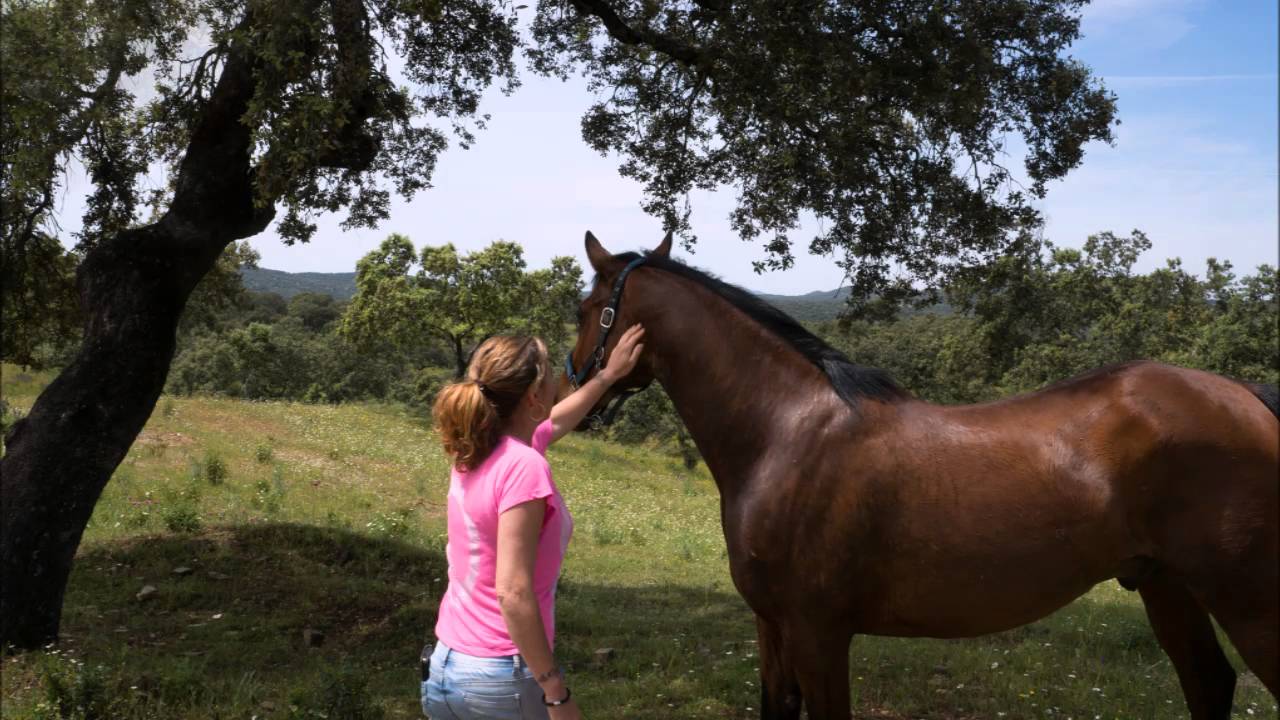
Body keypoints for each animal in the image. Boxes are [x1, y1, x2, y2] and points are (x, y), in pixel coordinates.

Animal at [561, 231, 1279, 720]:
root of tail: (1247, 398)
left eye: (584, 308)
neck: (785, 431)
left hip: (1246, 600)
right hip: (1165, 584)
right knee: (1208, 683)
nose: (574, 392)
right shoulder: (772, 627)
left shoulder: (818, 631)